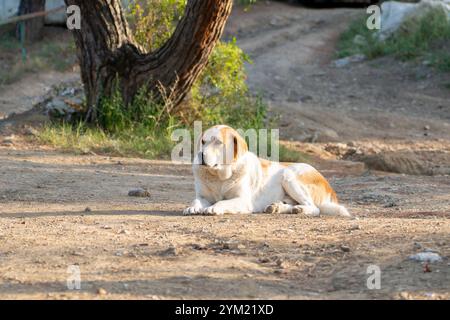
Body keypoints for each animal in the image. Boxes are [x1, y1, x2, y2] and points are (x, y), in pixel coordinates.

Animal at [183, 125, 352, 218]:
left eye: (218, 142)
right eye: (203, 142)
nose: (201, 155)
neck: (219, 177)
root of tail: (330, 189)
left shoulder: (243, 200)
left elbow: (222, 201)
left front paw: (214, 207)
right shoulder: (203, 196)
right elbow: (196, 200)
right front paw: (193, 207)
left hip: (289, 175)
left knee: (315, 208)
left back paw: (299, 209)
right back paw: (278, 207)